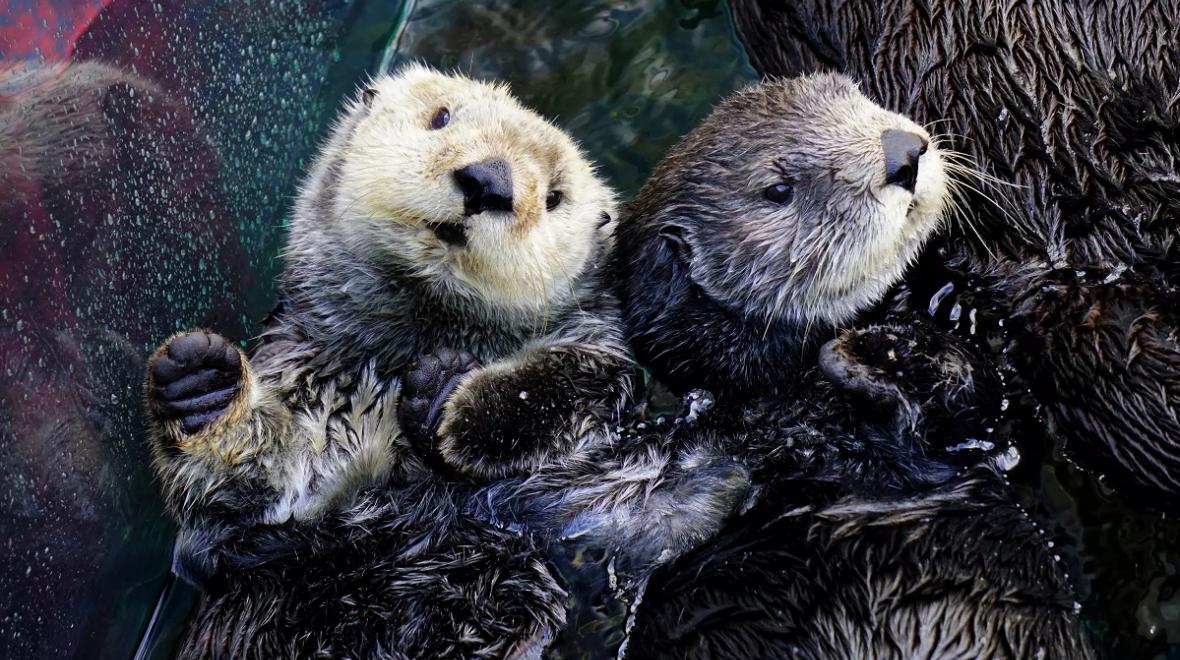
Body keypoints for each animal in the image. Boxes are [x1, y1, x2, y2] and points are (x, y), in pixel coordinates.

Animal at [144, 66, 744, 658]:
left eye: (555, 197)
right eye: (441, 117)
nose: (489, 182)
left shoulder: (599, 366)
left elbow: (584, 379)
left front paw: (448, 400)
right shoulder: (311, 381)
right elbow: (241, 501)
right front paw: (204, 387)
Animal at [613, 74, 1093, 658]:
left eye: (856, 97)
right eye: (778, 190)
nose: (903, 153)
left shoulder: (1000, 418)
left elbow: (983, 398)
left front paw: (887, 338)